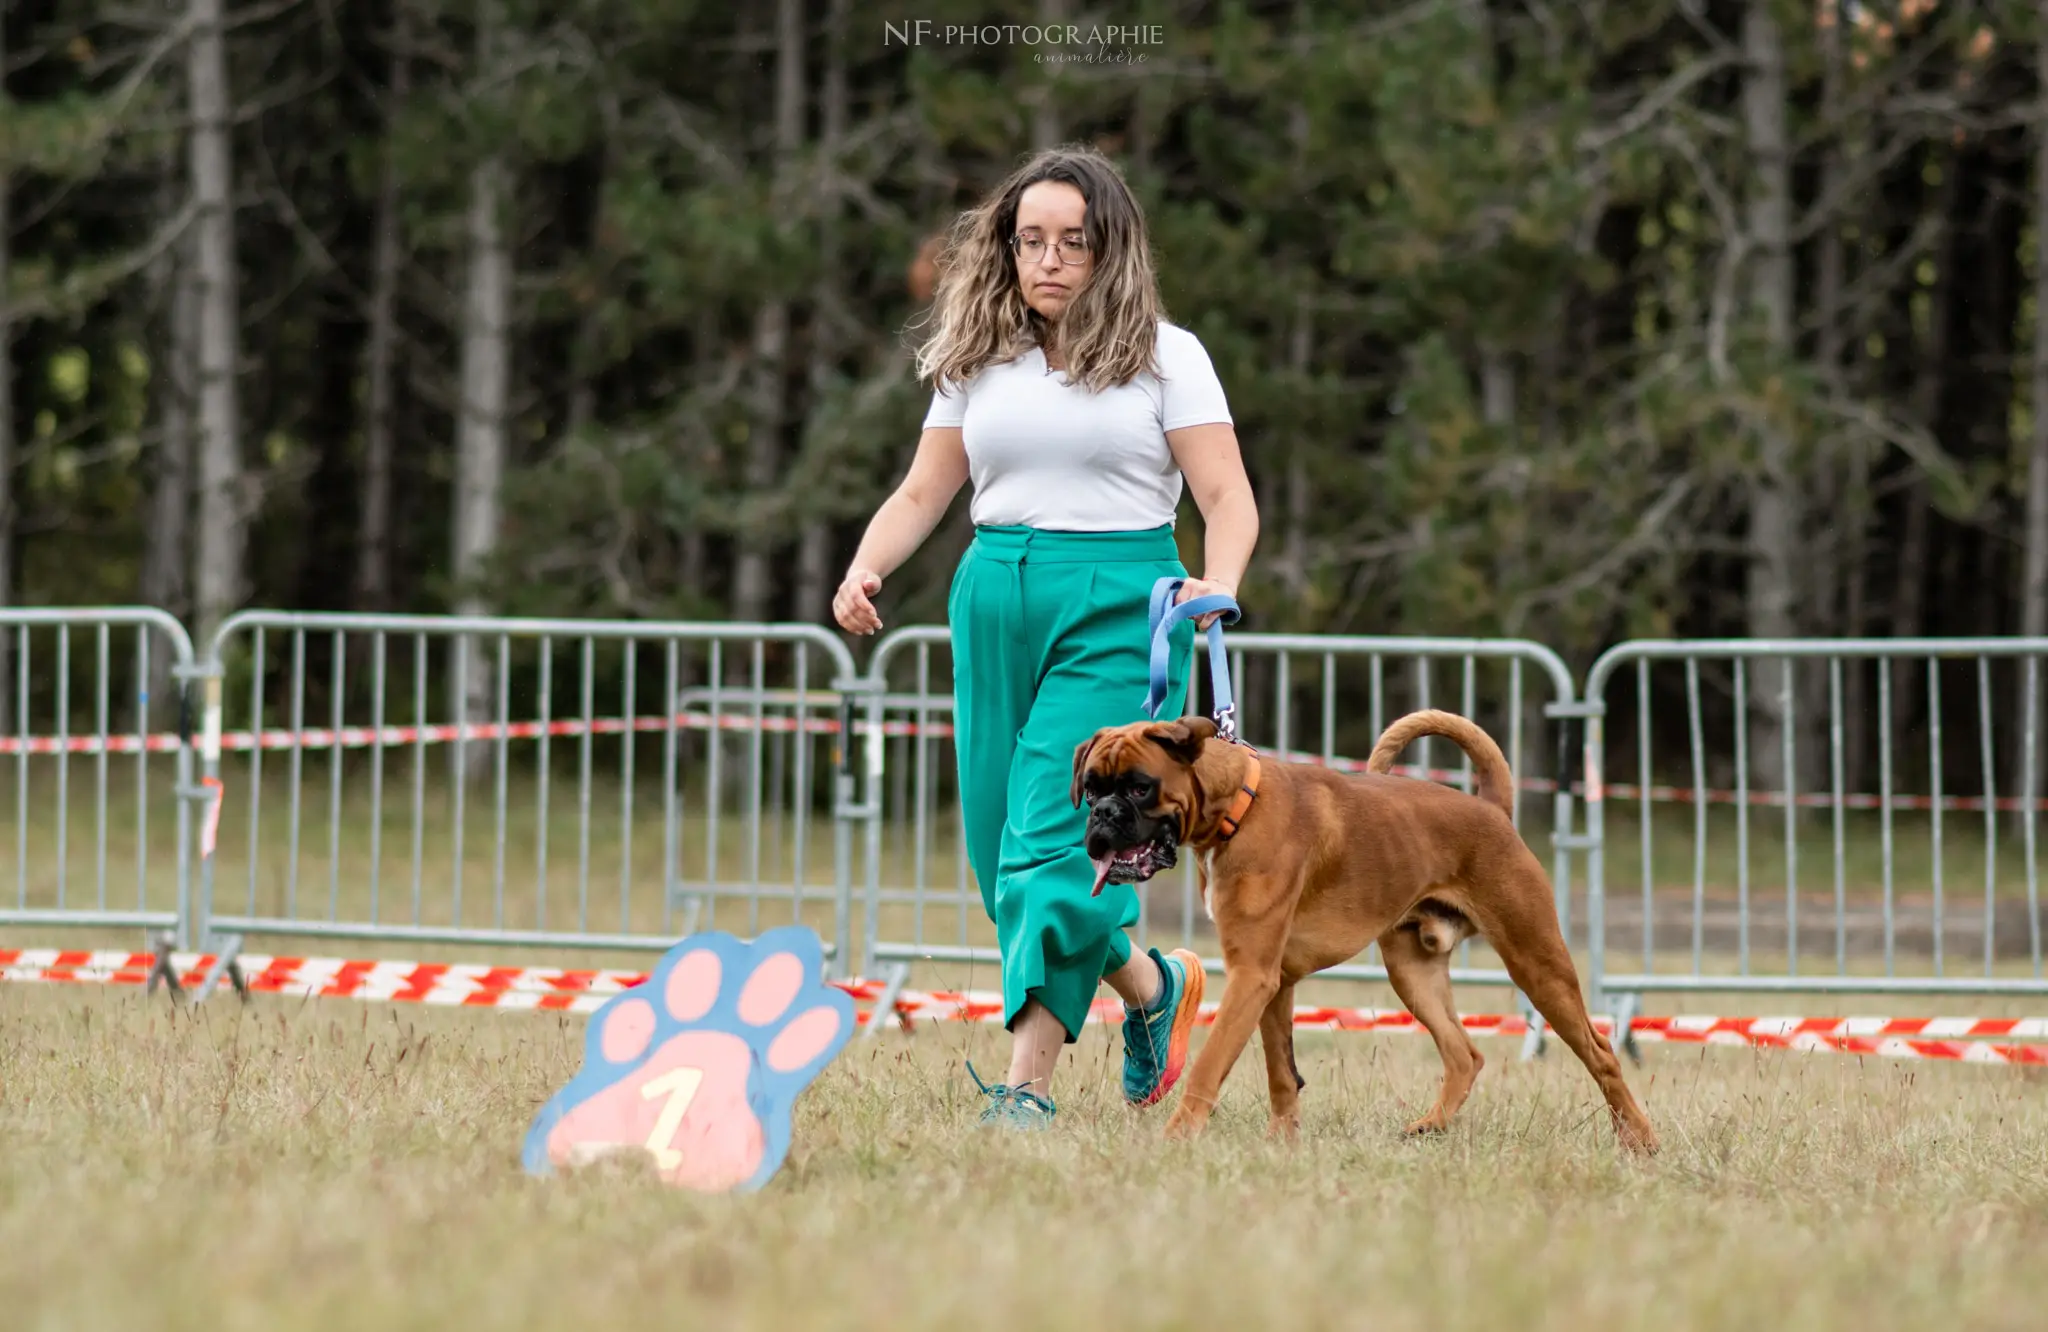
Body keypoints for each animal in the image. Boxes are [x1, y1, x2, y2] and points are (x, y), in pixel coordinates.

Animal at [1081, 704, 1654, 1147]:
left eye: (1139, 788)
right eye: (1090, 789)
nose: (1103, 814)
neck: (1238, 804)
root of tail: (1494, 810)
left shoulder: (1252, 976)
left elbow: (1211, 1062)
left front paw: (1177, 1137)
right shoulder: (1274, 983)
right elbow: (1281, 1072)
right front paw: (1282, 1143)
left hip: (1537, 964)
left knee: (1601, 1052)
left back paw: (1639, 1140)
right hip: (1414, 973)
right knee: (1464, 1055)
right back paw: (1430, 1127)